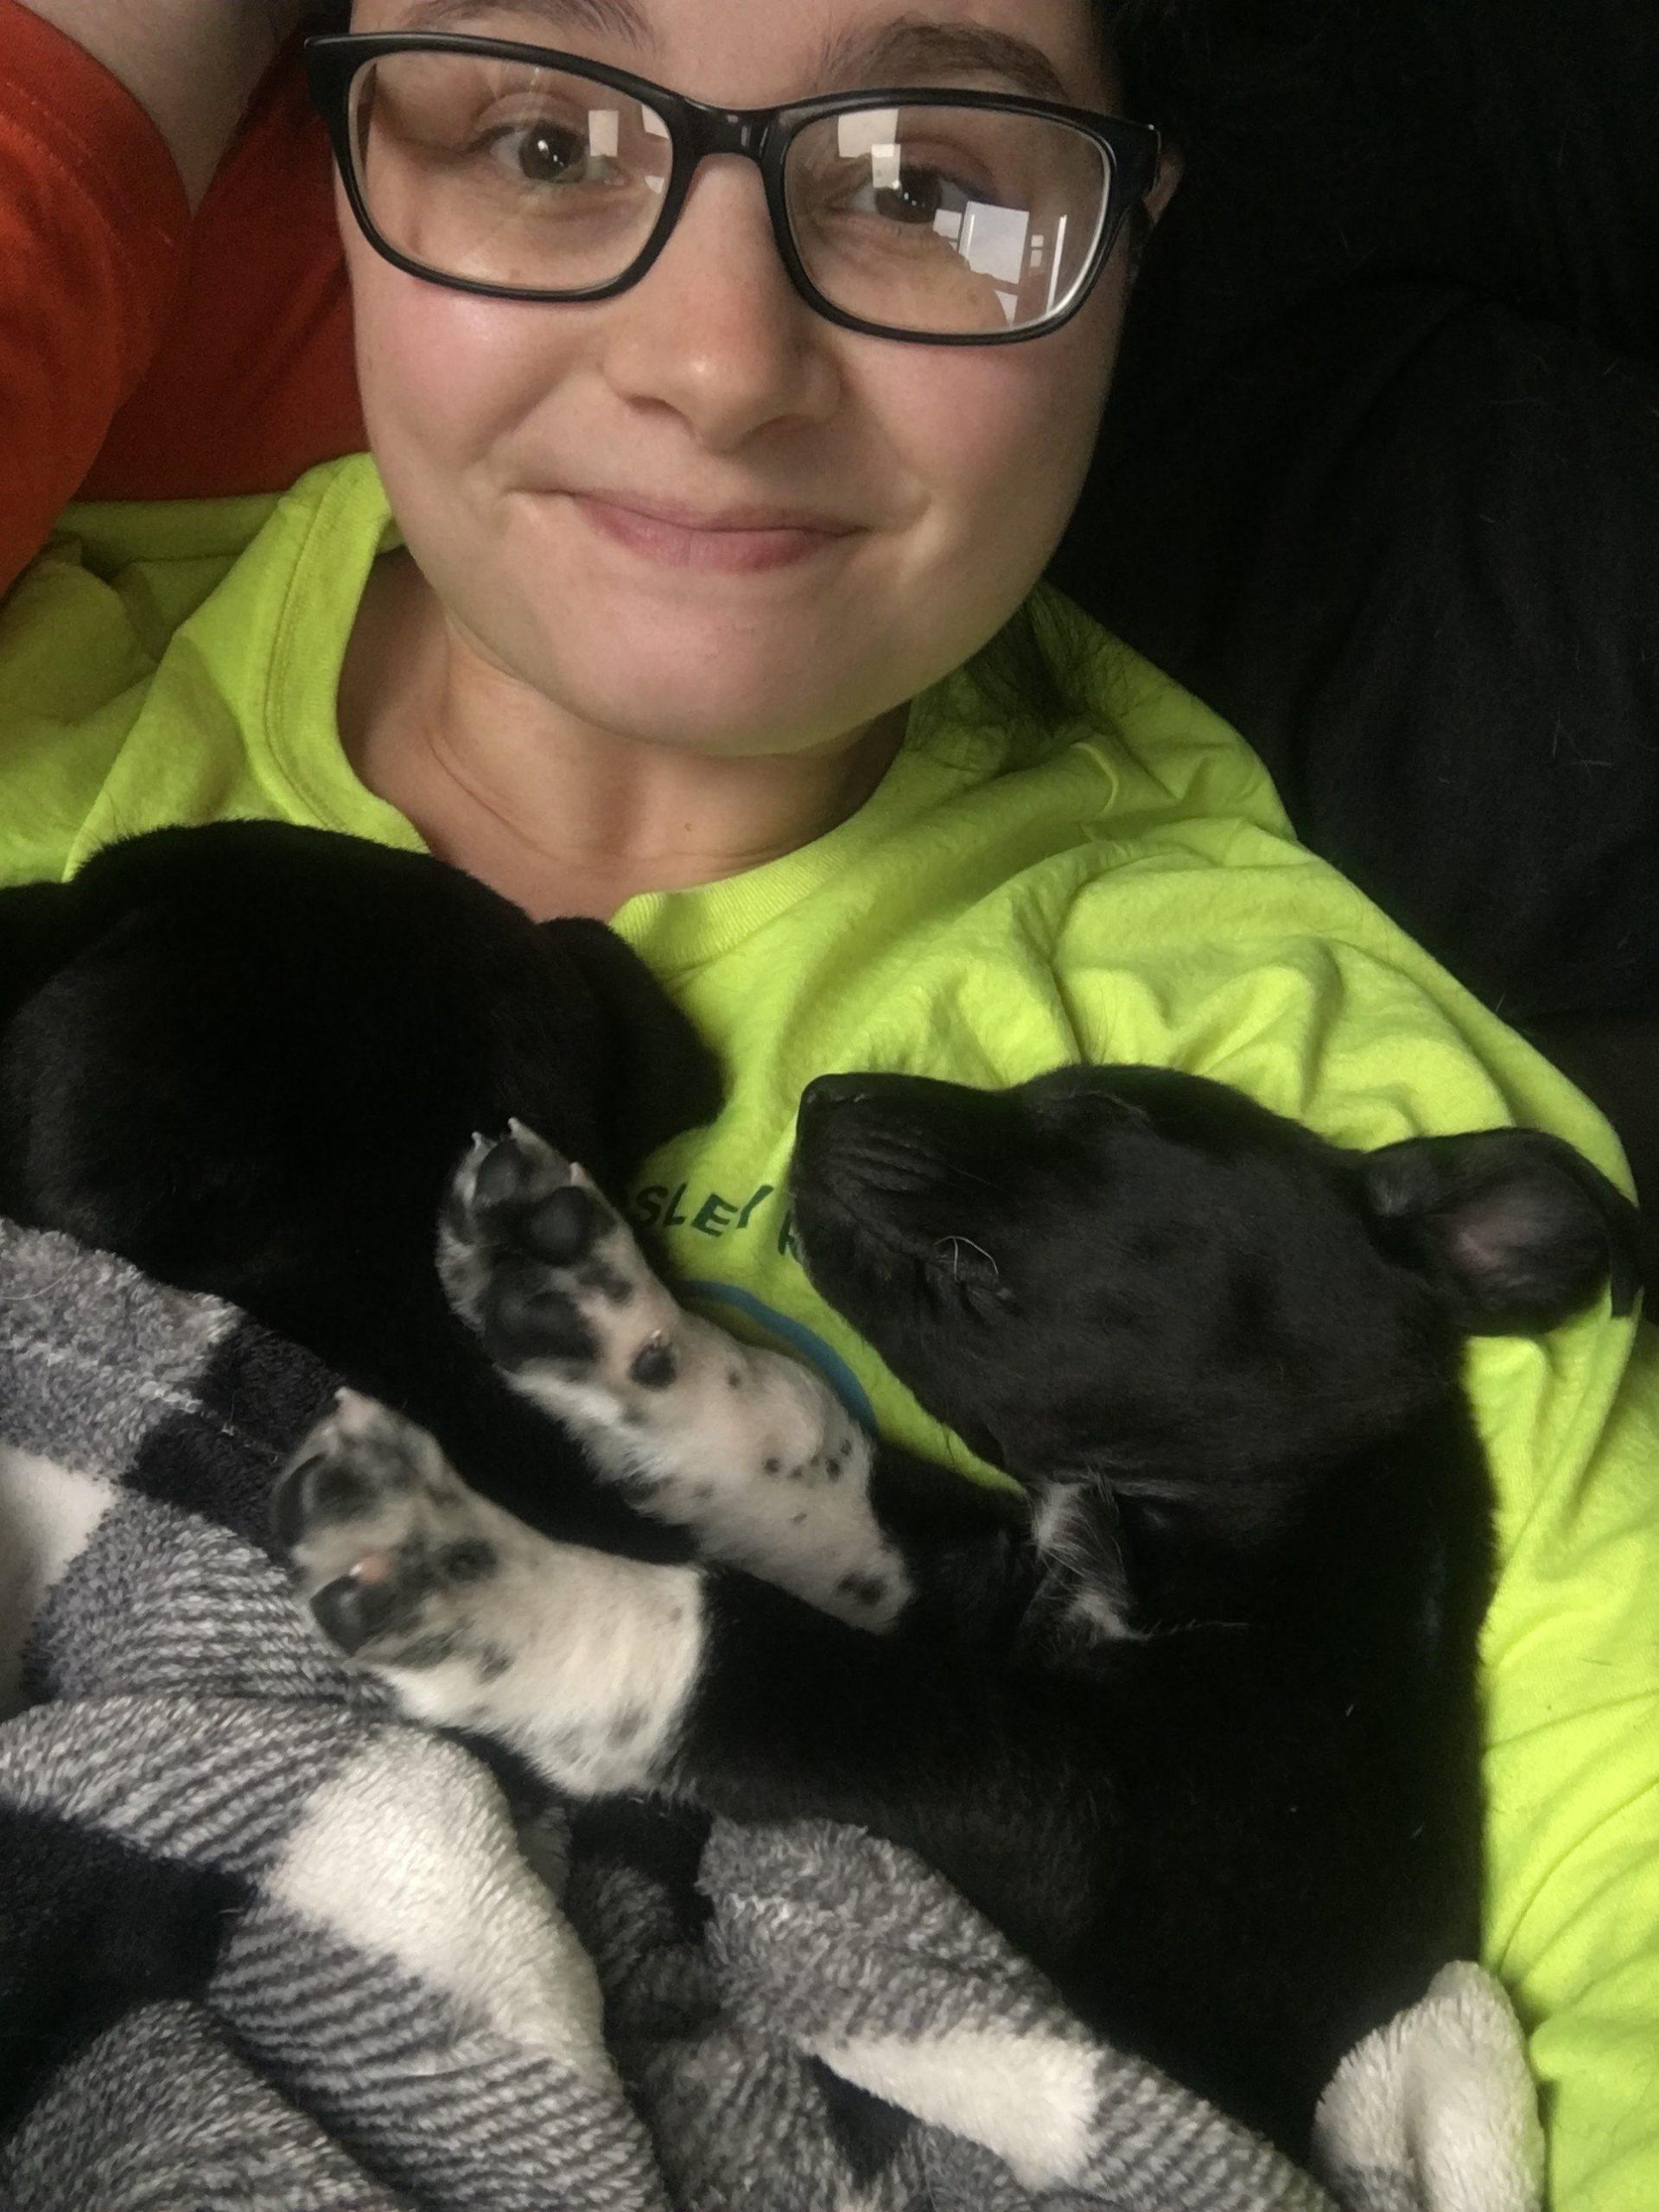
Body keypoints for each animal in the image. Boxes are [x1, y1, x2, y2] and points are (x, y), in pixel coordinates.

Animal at [279, 1061, 1645, 2150]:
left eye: (1102, 1111)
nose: (824, 1092)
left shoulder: (1064, 1817)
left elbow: (755, 1651)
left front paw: (484, 1581)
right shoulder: (969, 1586)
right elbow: (795, 1441)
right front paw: (594, 1302)